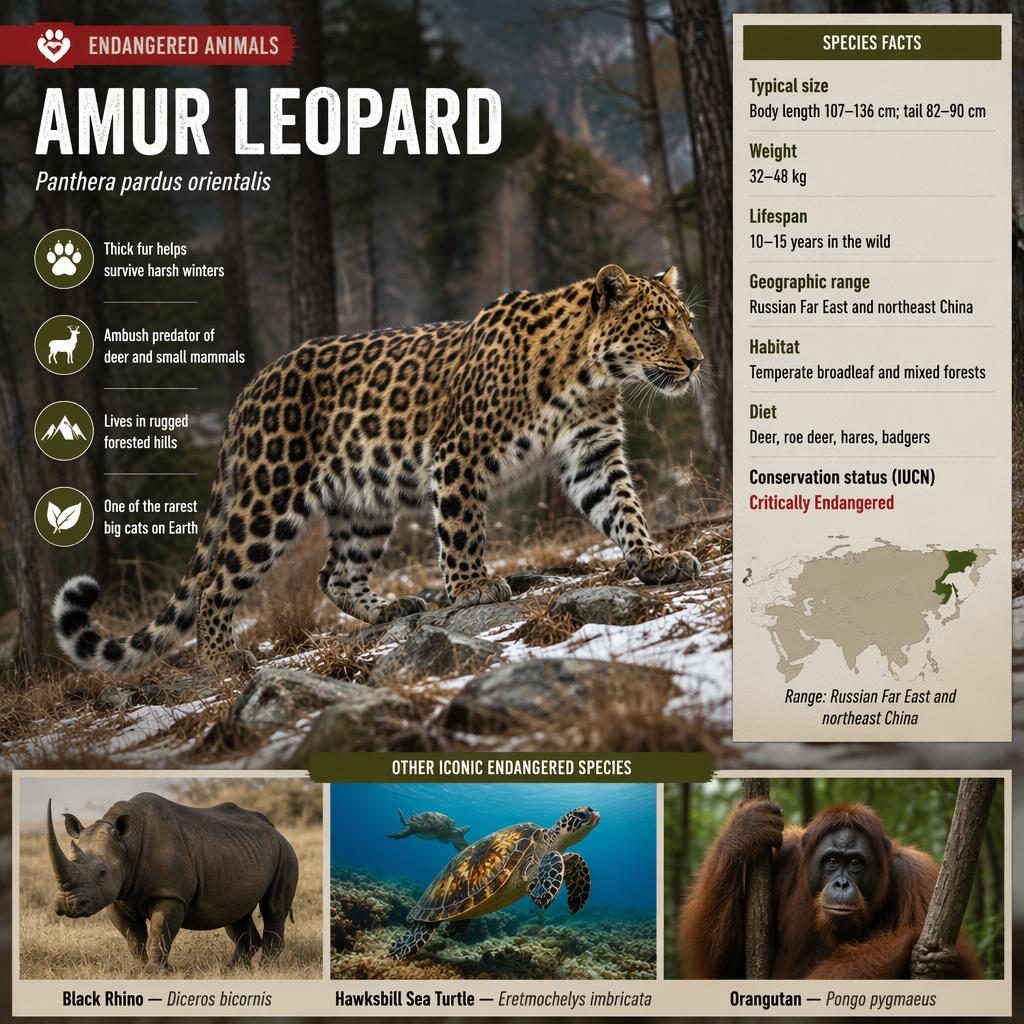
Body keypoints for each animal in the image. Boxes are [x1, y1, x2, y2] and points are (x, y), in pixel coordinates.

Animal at [53, 264, 704, 675]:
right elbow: (463, 531)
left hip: (363, 501)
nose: (698, 361)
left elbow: (622, 508)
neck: (586, 375)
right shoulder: (459, 455)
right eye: (658, 325)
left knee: (333, 575)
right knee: (218, 579)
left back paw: (390, 609)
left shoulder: (593, 452)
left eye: (688, 322)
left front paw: (655, 558)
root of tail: (247, 391)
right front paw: (472, 587)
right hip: (269, 497)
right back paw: (221, 657)